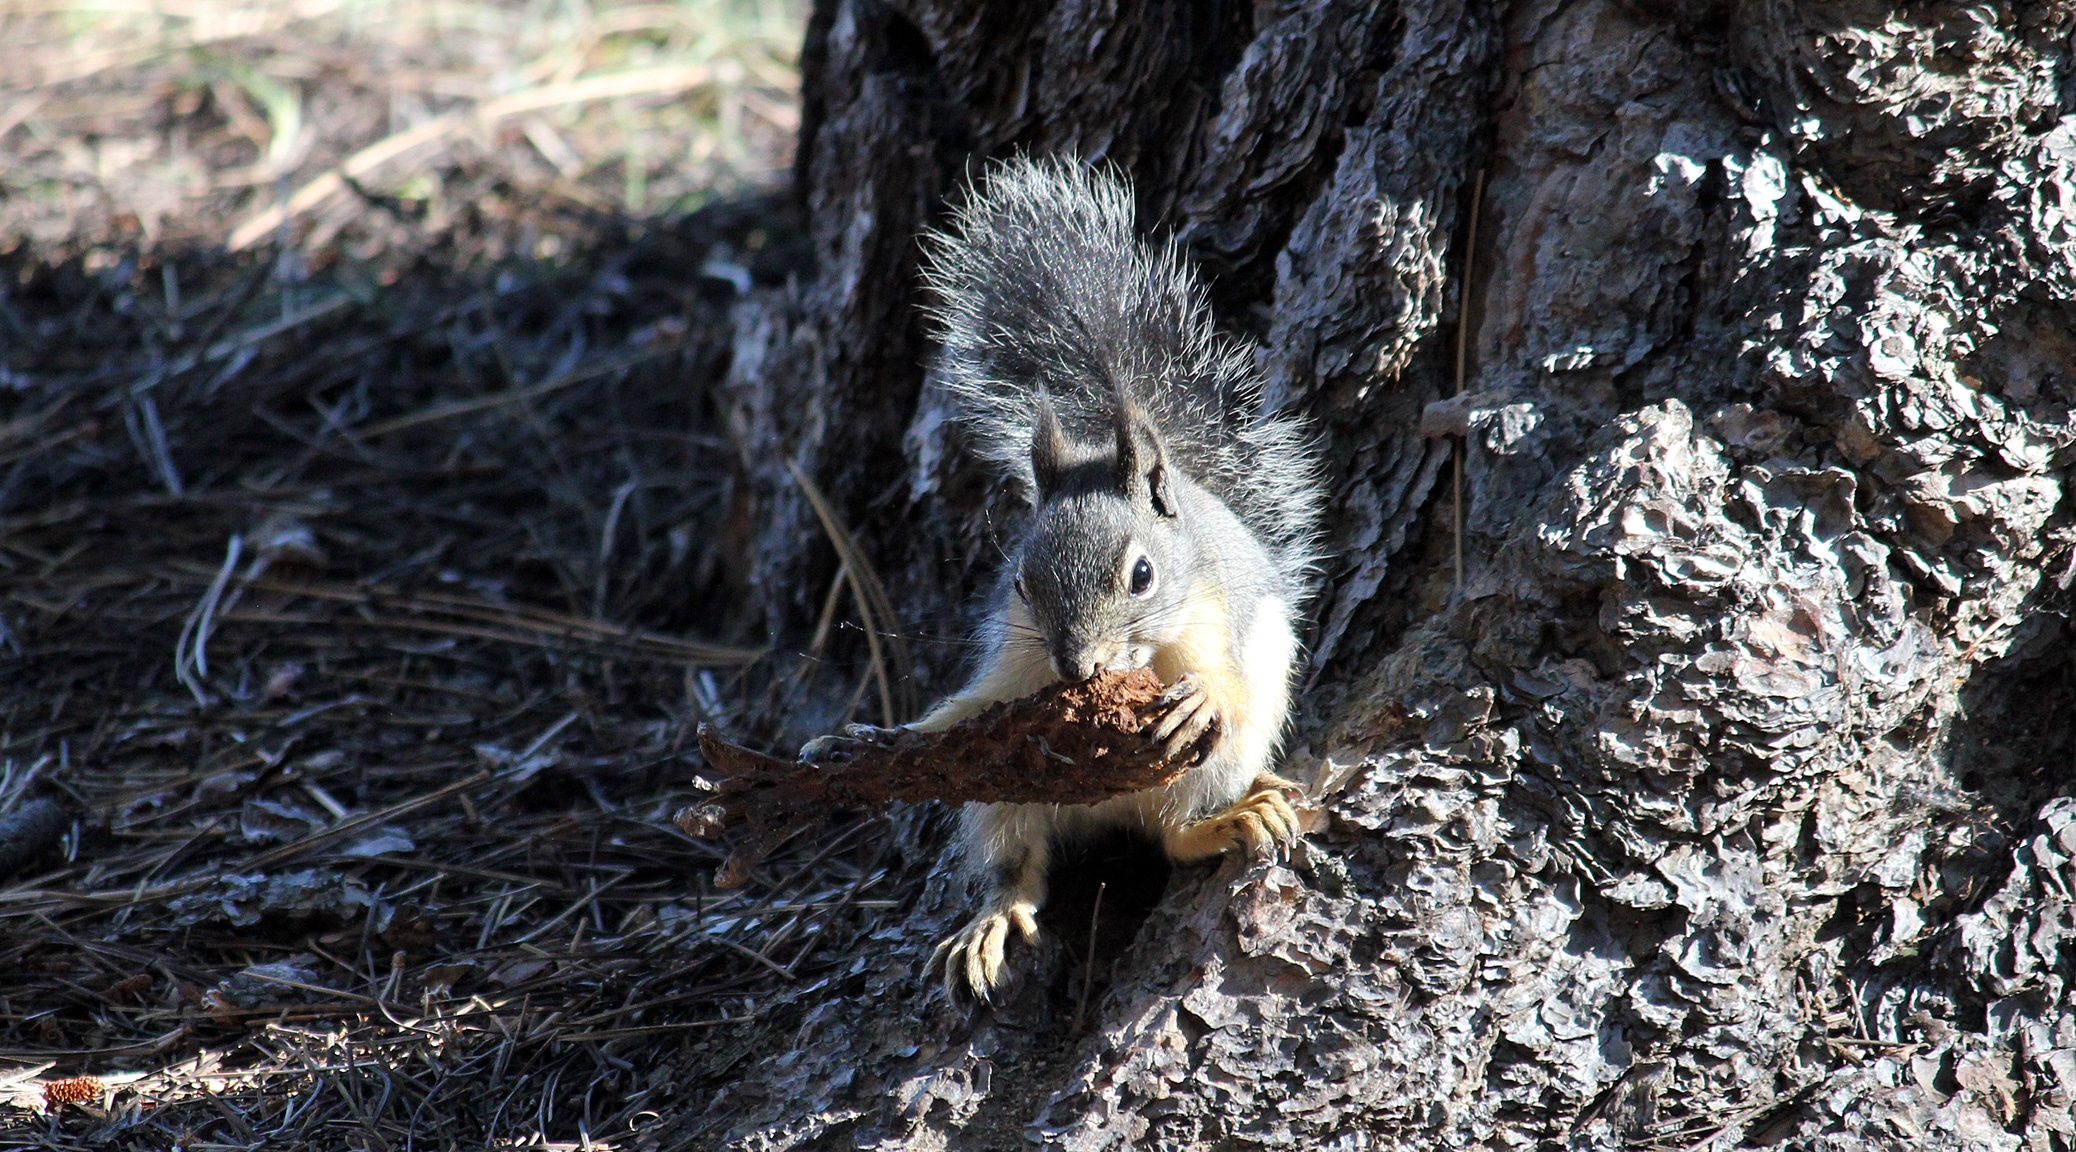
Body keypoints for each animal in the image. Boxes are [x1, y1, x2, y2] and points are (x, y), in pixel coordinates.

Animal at [801, 157, 1320, 1004]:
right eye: (1020, 582)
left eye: (1142, 574)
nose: (1075, 667)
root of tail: (1114, 809)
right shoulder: (1017, 663)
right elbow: (963, 712)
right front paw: (870, 740)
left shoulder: (1213, 614)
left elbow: (1225, 680)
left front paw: (1201, 696)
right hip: (1005, 794)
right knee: (1019, 865)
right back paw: (991, 921)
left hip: (1219, 760)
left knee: (1176, 837)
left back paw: (1229, 819)